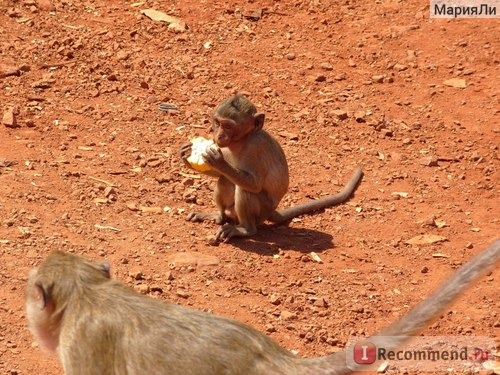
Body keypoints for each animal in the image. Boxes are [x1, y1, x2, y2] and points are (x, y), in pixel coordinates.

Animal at [181, 93, 364, 242]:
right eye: (217, 122)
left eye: (228, 126)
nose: (219, 135)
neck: (241, 142)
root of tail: (271, 211)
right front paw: (185, 154)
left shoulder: (256, 148)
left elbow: (254, 184)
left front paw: (219, 161)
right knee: (225, 180)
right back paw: (219, 216)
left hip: (262, 211)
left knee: (244, 189)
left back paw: (246, 230)